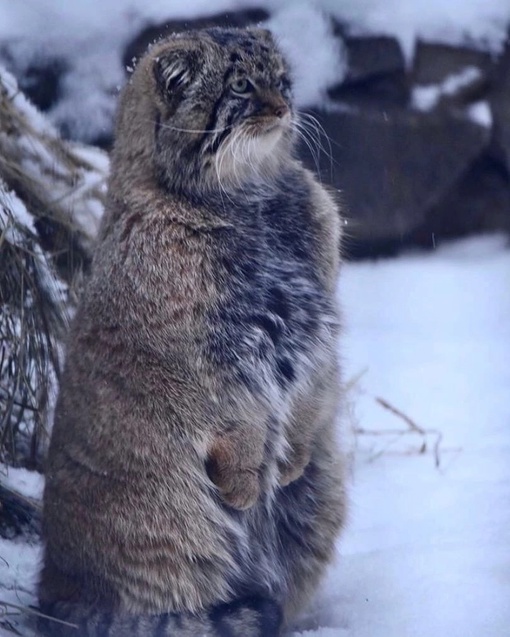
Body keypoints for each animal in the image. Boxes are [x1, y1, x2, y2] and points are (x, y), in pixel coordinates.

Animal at [36, 26, 346, 636]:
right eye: (243, 86)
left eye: (282, 80)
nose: (286, 106)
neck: (253, 202)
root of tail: (51, 585)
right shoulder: (213, 361)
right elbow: (242, 425)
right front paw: (247, 484)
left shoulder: (315, 335)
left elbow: (306, 400)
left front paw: (288, 461)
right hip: (169, 521)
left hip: (321, 499)